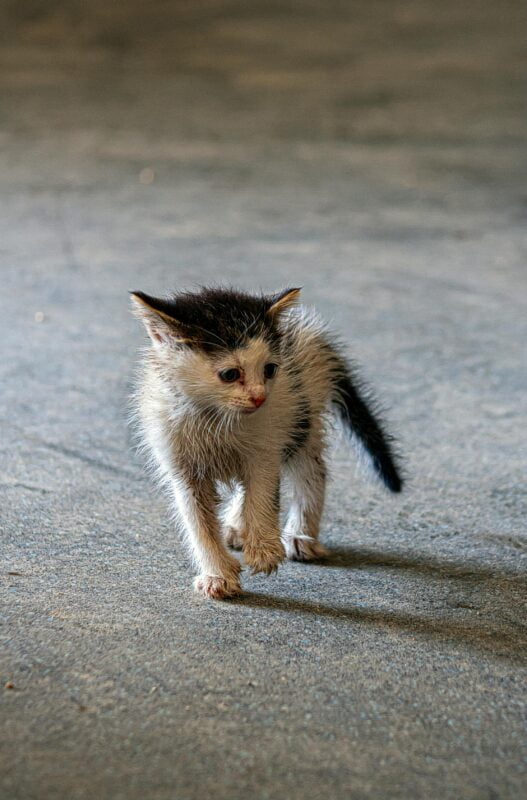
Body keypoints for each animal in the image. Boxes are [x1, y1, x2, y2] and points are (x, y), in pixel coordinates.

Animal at [130, 288, 402, 600]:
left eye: (270, 370)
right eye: (230, 374)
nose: (259, 397)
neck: (215, 417)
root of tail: (310, 330)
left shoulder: (266, 445)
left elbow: (262, 493)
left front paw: (263, 550)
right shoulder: (181, 463)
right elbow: (199, 523)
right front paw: (217, 575)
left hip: (300, 417)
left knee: (312, 472)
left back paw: (299, 536)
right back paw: (238, 526)